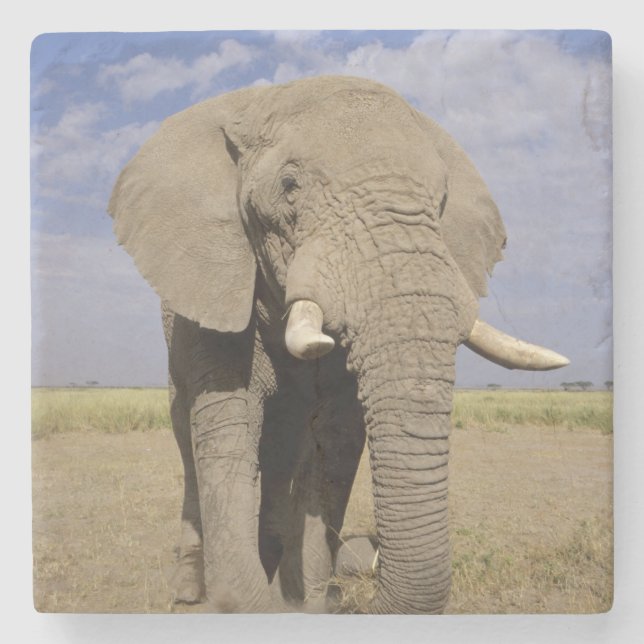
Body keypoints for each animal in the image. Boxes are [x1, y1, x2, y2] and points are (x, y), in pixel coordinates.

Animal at [109, 75, 568, 614]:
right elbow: (229, 422)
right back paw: (189, 589)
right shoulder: (214, 287)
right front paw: (255, 600)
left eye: (441, 201)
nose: (355, 587)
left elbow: (338, 434)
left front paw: (309, 602)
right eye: (289, 186)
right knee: (188, 437)